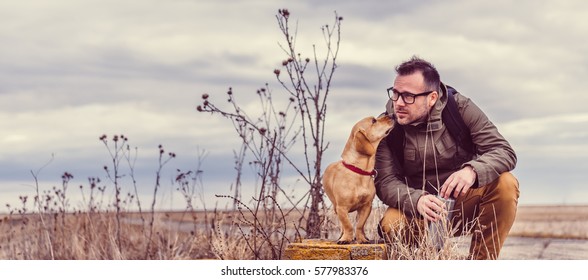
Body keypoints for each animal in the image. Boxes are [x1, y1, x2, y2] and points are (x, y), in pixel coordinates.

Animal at [322, 115, 396, 244]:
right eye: (373, 121)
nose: (391, 115)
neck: (359, 172)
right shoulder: (342, 208)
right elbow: (348, 225)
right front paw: (346, 238)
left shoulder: (366, 206)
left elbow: (360, 225)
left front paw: (361, 238)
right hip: (336, 208)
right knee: (343, 225)